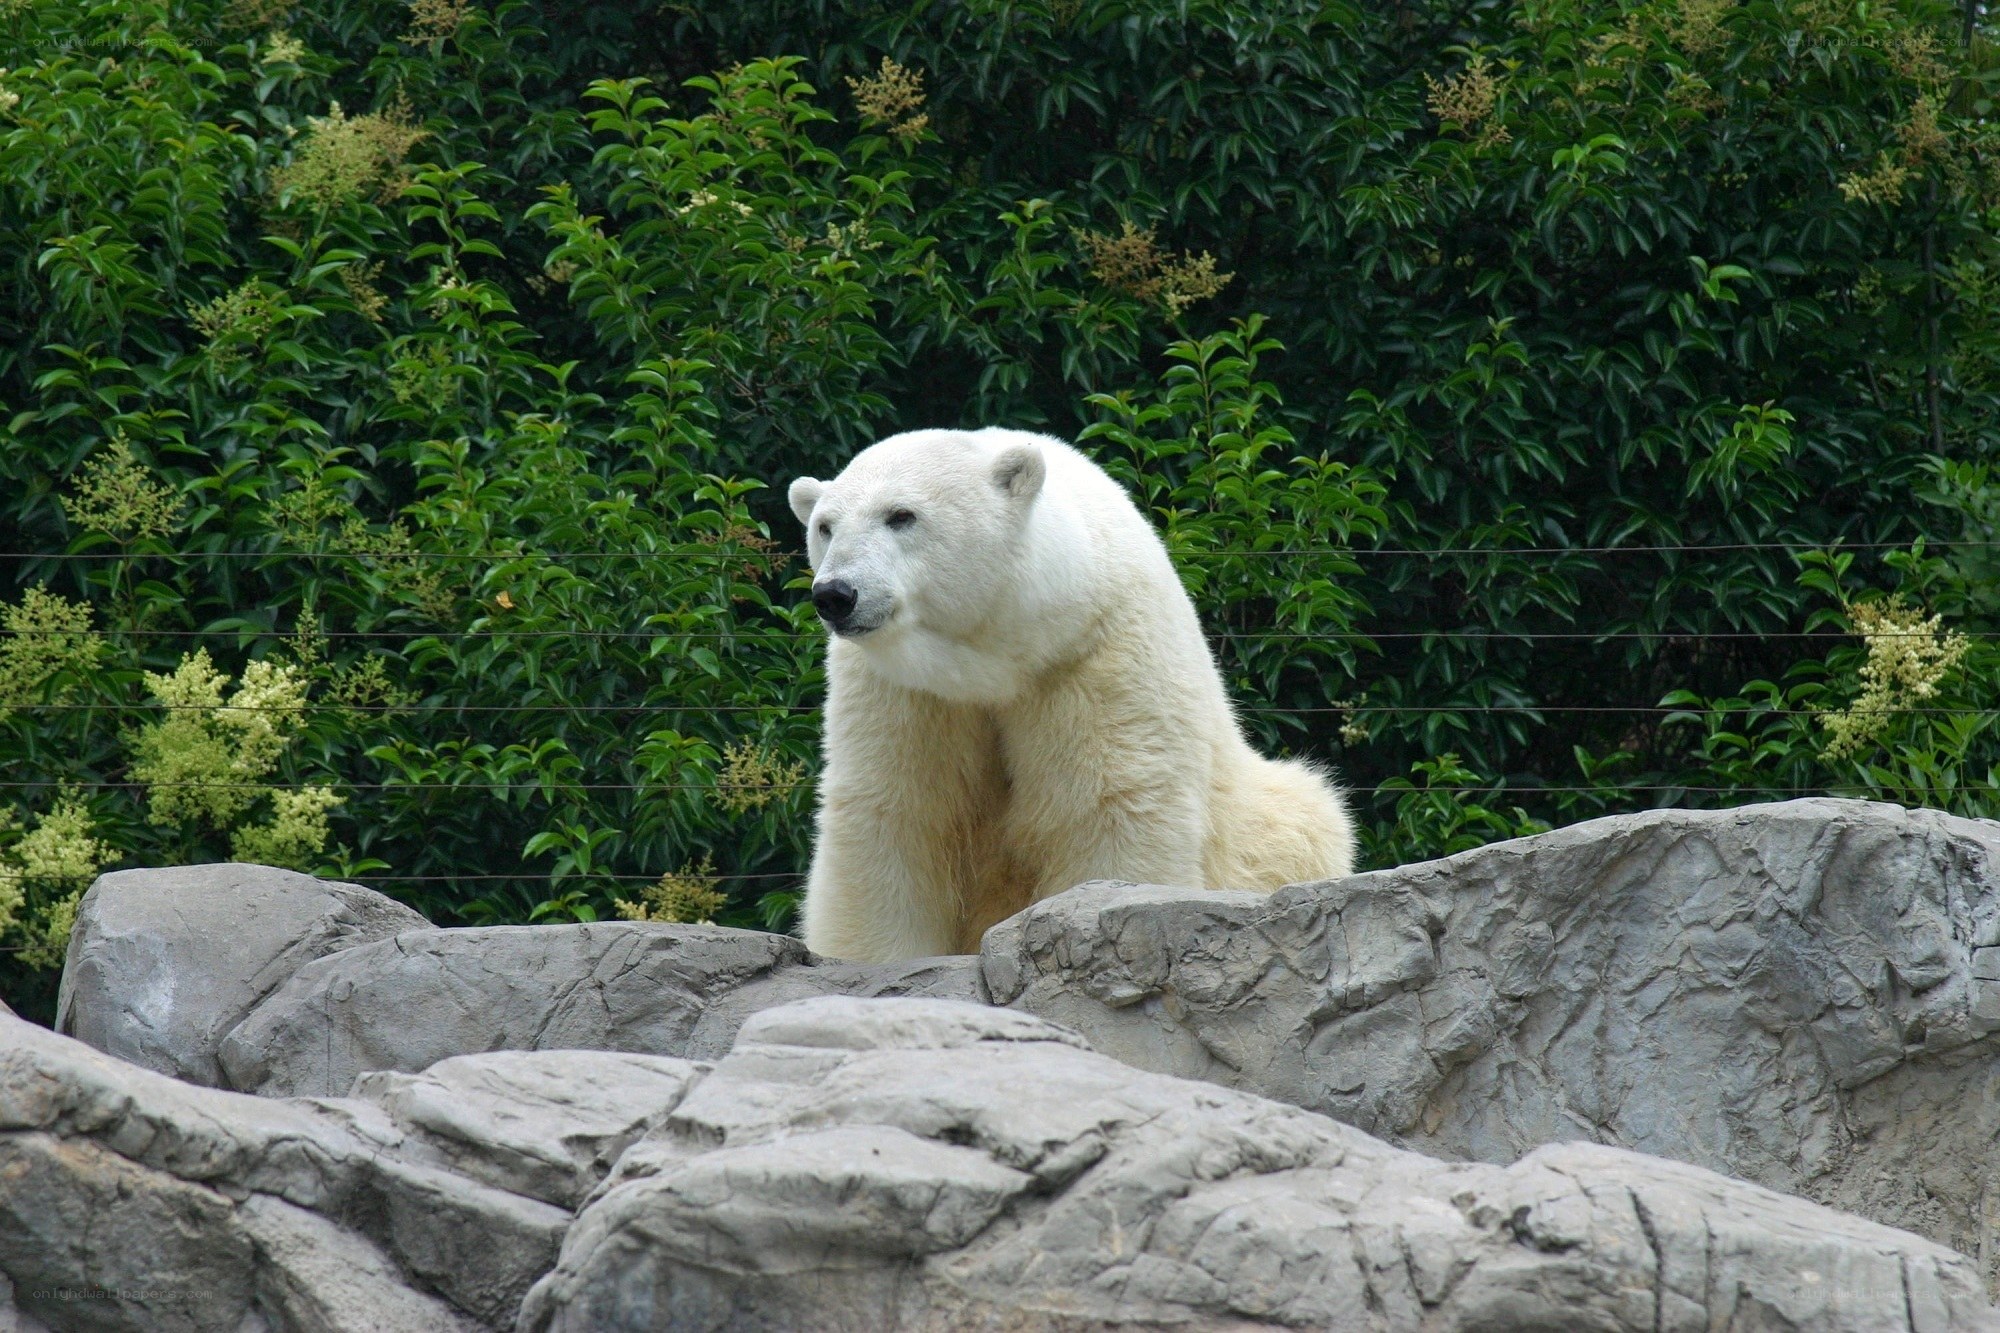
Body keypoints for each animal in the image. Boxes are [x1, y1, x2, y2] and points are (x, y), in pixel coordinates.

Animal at [787, 427, 1356, 962]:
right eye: (825, 526)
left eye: (901, 515)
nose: (835, 594)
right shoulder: (904, 688)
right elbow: (897, 812)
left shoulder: (1096, 653)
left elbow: (1107, 804)